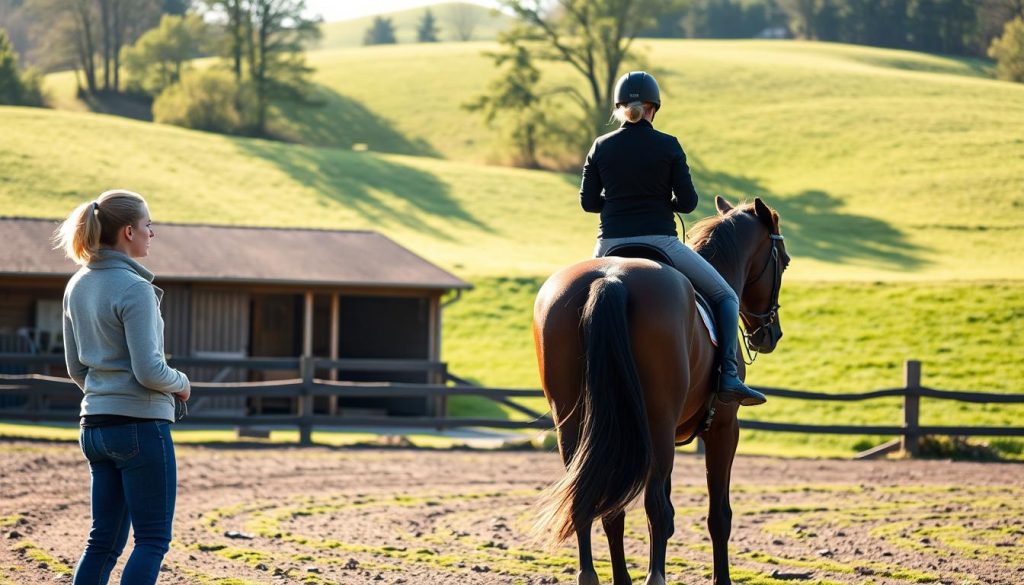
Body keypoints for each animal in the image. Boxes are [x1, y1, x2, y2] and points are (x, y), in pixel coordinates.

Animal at [532, 197, 786, 585]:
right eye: (783, 260)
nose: (770, 335)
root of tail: (610, 279)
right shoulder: (724, 428)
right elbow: (718, 515)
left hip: (575, 424)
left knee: (594, 502)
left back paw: (596, 576)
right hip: (659, 425)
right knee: (656, 509)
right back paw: (654, 577)